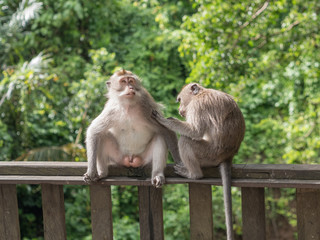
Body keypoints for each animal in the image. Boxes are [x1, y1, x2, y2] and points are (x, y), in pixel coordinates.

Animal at [152, 83, 245, 240]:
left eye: (179, 100)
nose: (179, 109)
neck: (201, 94)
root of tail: (227, 156)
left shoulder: (198, 106)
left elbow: (195, 132)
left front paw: (166, 121)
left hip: (208, 154)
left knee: (186, 141)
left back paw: (193, 174)